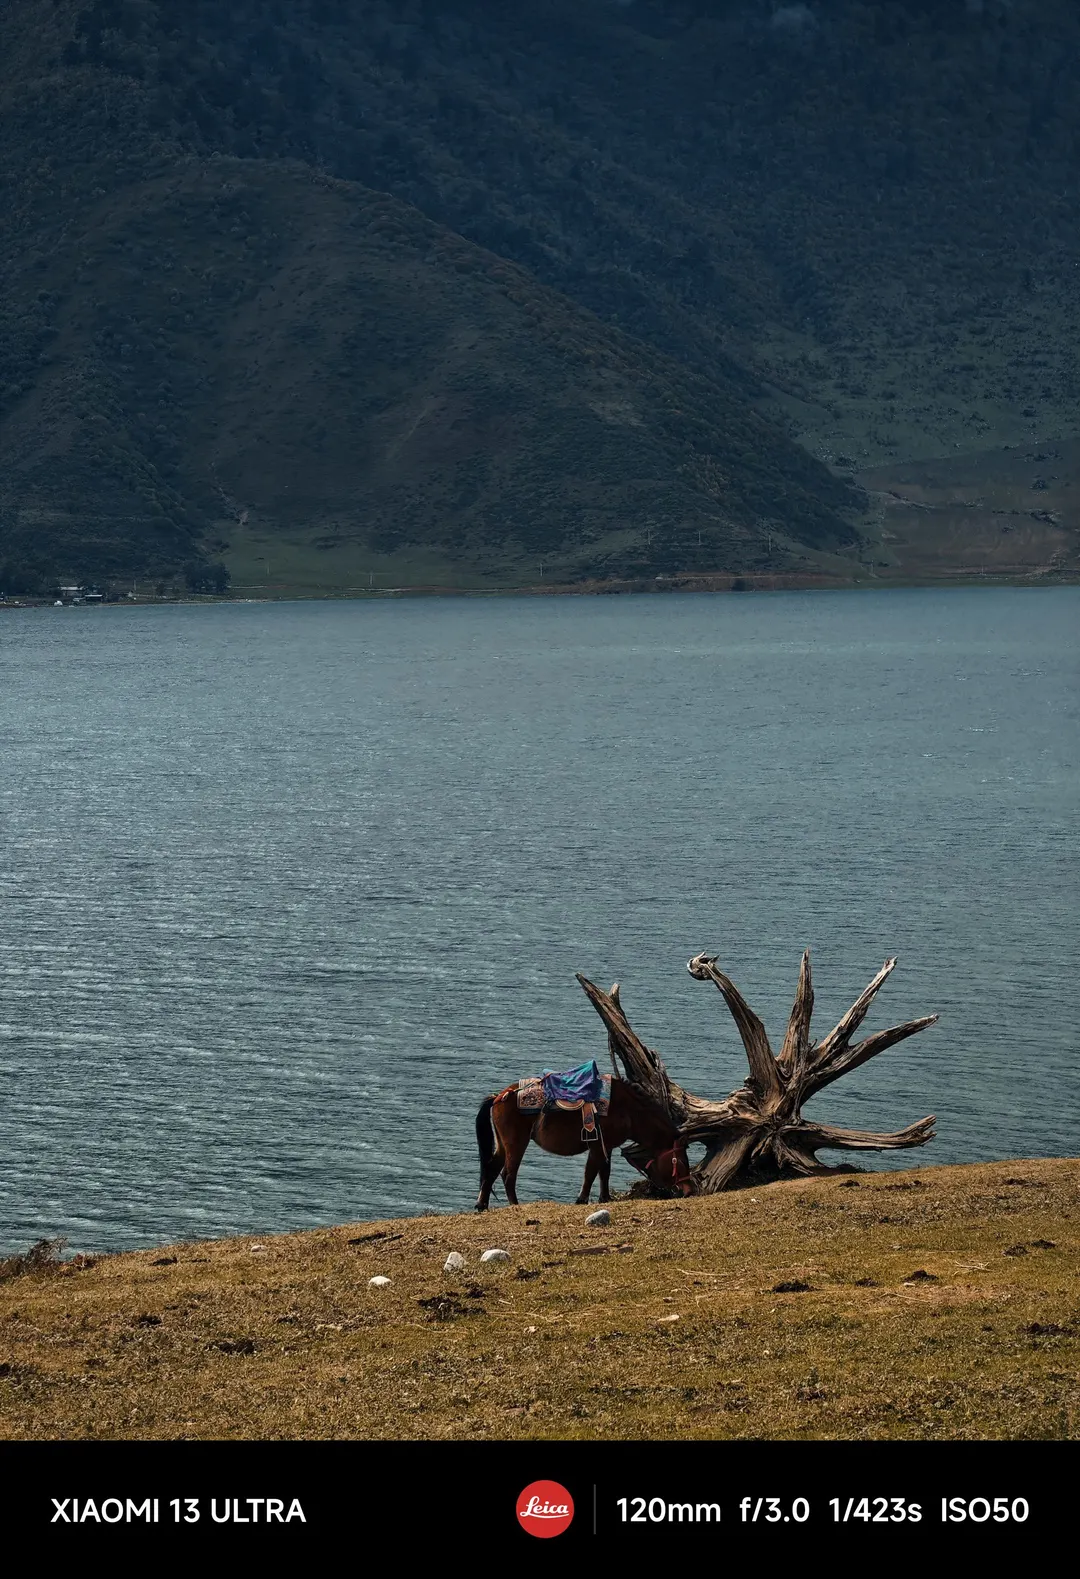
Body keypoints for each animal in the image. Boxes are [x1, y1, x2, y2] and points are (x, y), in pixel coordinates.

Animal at [473, 1080, 691, 1212]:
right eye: (680, 1161)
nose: (688, 1190)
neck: (627, 1110)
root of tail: (499, 1097)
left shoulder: (606, 1147)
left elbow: (604, 1172)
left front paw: (605, 1198)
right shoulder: (597, 1147)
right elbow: (591, 1173)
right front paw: (582, 1199)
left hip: (503, 1145)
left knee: (491, 1170)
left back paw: (481, 1204)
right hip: (516, 1144)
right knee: (508, 1175)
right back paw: (515, 1204)